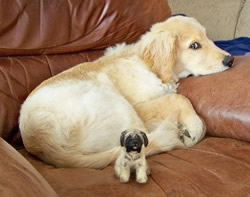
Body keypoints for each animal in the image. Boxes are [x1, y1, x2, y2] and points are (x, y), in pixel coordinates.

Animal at [18, 16, 233, 169]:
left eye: (209, 39)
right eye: (194, 45)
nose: (230, 60)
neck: (146, 65)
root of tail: (43, 144)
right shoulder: (140, 106)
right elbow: (179, 99)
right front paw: (194, 127)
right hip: (118, 104)